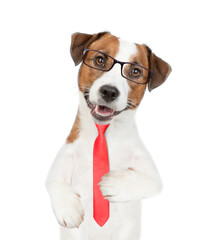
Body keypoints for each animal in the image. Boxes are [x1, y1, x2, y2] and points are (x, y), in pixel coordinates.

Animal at [46, 31, 172, 240]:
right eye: (100, 59)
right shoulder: (65, 155)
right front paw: (69, 209)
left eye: (135, 71)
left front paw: (114, 184)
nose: (109, 91)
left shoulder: (150, 171)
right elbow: (53, 181)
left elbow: (154, 183)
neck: (104, 132)